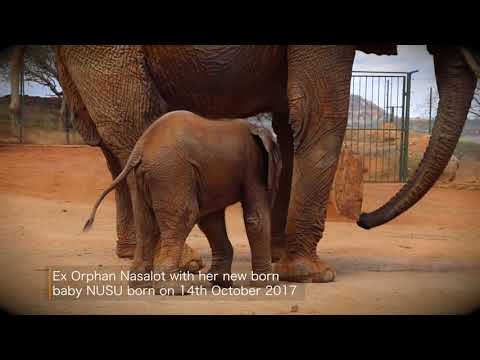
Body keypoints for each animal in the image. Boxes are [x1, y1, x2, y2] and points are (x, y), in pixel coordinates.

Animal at [83, 110, 282, 292]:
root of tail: (141, 147)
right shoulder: (254, 168)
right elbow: (255, 218)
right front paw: (268, 285)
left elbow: (211, 221)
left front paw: (222, 283)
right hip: (171, 172)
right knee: (184, 216)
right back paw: (174, 289)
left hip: (142, 179)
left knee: (146, 226)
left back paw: (141, 287)